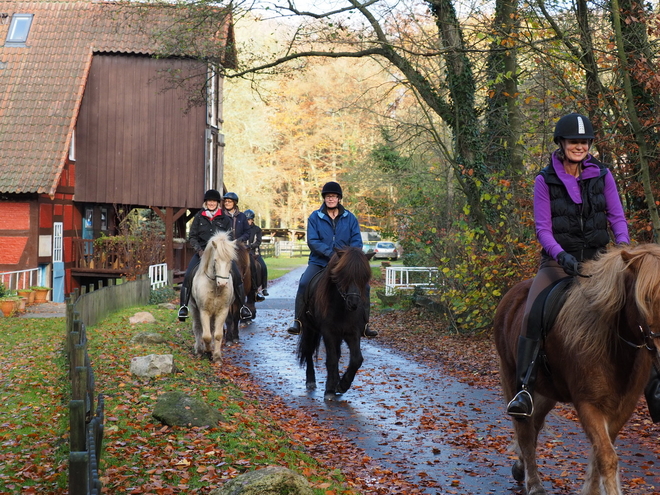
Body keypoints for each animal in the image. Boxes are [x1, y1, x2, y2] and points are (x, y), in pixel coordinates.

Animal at [189, 232, 236, 364]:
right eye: (215, 260)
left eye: (230, 260)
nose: (222, 283)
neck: (215, 287)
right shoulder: (204, 311)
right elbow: (206, 335)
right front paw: (207, 350)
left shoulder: (222, 311)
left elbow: (218, 334)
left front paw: (217, 356)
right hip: (194, 309)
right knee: (198, 328)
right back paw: (199, 350)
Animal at [298, 246, 374, 402]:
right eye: (343, 275)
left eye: (364, 277)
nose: (354, 303)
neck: (342, 308)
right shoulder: (329, 332)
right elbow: (331, 359)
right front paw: (329, 390)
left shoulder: (352, 333)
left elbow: (356, 359)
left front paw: (342, 385)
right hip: (309, 329)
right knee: (308, 351)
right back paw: (311, 381)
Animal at [496, 245, 660, 495]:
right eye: (646, 298)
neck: (612, 342)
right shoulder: (588, 404)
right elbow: (606, 456)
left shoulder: (622, 408)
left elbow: (599, 452)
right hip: (511, 376)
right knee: (525, 431)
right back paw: (533, 483)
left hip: (547, 391)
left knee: (535, 425)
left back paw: (520, 467)